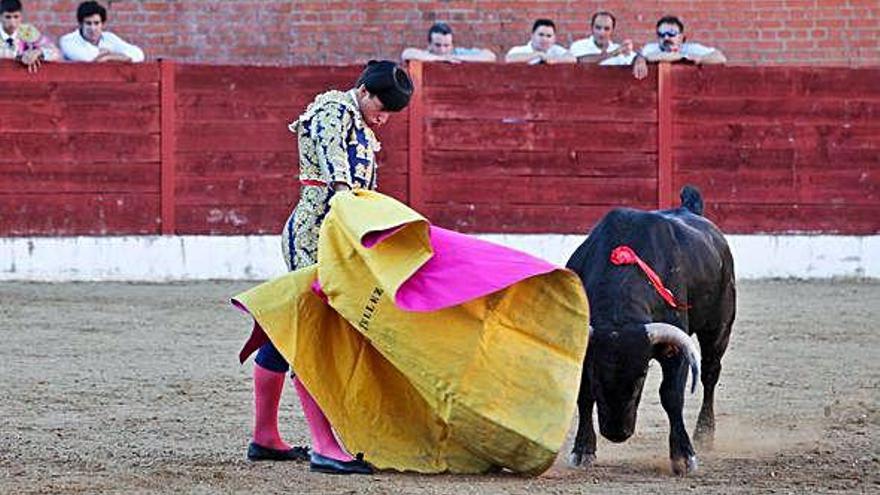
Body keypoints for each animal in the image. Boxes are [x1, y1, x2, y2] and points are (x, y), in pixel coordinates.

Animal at [564, 186, 736, 476]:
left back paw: (704, 434)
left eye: (642, 375)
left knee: (710, 374)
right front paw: (583, 450)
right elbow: (583, 395)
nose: (617, 433)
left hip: (719, 326)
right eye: (596, 374)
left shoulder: (675, 352)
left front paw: (684, 456)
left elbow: (671, 396)